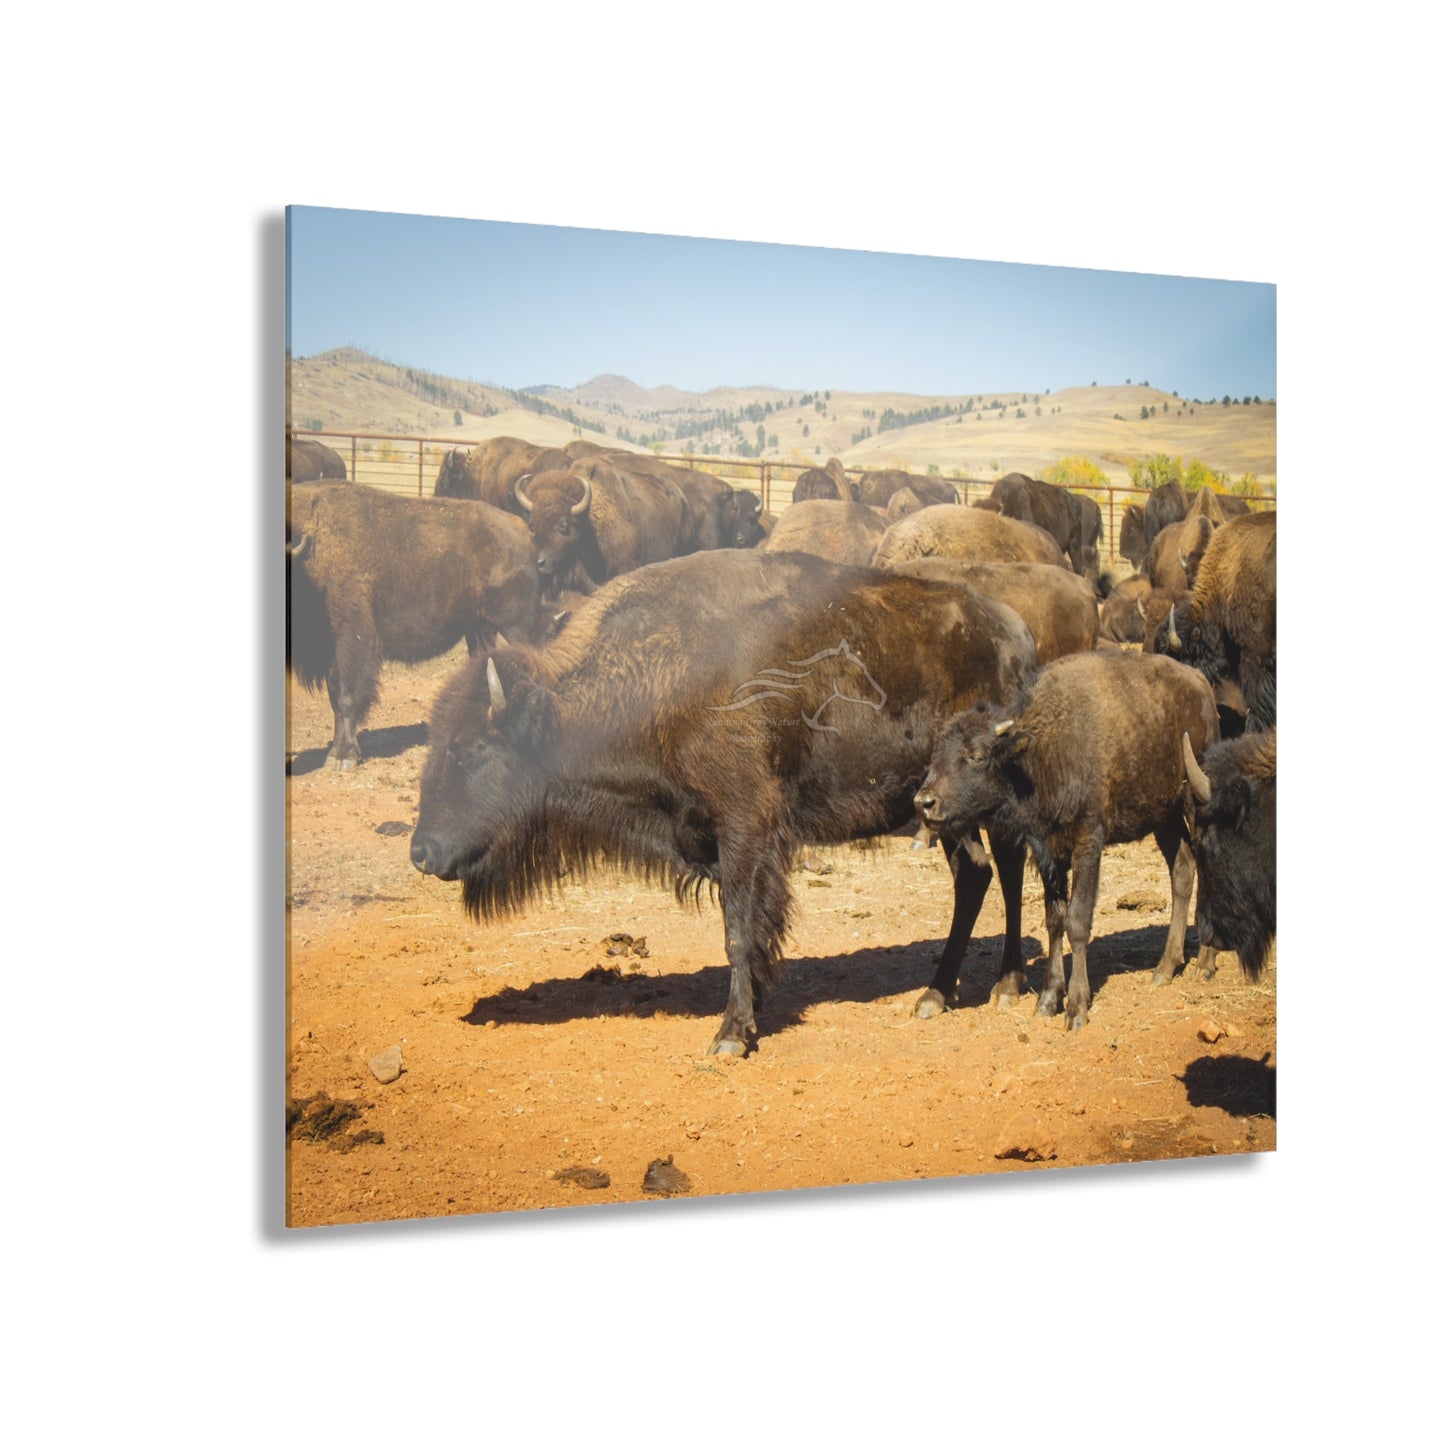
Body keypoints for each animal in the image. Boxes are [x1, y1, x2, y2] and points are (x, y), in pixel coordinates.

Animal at [287, 483, 542, 770]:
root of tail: (523, 529)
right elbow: (335, 698)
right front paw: (335, 754)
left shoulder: (352, 641)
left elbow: (346, 696)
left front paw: (343, 757)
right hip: (479, 629)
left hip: (516, 627)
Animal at [410, 550, 1039, 1055]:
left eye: (470, 750)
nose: (421, 852)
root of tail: (1018, 632)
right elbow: (748, 931)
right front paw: (752, 1008)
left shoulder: (746, 827)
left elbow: (738, 930)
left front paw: (732, 1034)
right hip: (944, 812)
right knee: (976, 874)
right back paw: (937, 994)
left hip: (989, 805)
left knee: (1006, 871)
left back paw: (1004, 987)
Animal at [914, 651, 1220, 1027]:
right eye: (935, 756)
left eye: (976, 756)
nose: (925, 802)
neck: (1043, 751)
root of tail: (1200, 682)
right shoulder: (1049, 852)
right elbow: (1055, 920)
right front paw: (1048, 999)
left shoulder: (1088, 841)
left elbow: (1078, 920)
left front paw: (1076, 1007)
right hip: (1165, 816)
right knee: (1182, 870)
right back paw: (1165, 967)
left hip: (1195, 801)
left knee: (1206, 866)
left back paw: (1205, 963)